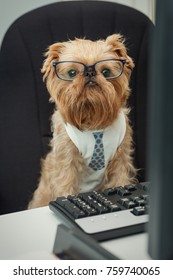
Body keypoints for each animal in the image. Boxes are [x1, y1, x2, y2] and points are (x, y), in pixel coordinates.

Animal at [27, 34, 137, 209]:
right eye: (72, 72)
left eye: (106, 72)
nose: (90, 73)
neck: (93, 122)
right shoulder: (67, 160)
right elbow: (66, 184)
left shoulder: (120, 158)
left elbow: (119, 180)